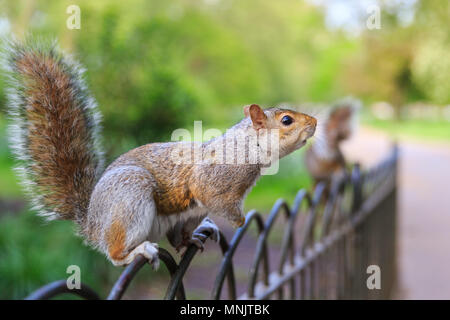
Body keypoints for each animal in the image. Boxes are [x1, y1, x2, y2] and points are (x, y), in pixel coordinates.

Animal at [1, 39, 316, 268]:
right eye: (286, 120)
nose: (314, 122)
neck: (247, 145)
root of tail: (92, 223)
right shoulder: (215, 180)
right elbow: (219, 200)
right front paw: (240, 223)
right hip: (130, 194)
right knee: (115, 253)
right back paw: (137, 252)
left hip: (182, 215)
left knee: (177, 237)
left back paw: (192, 239)